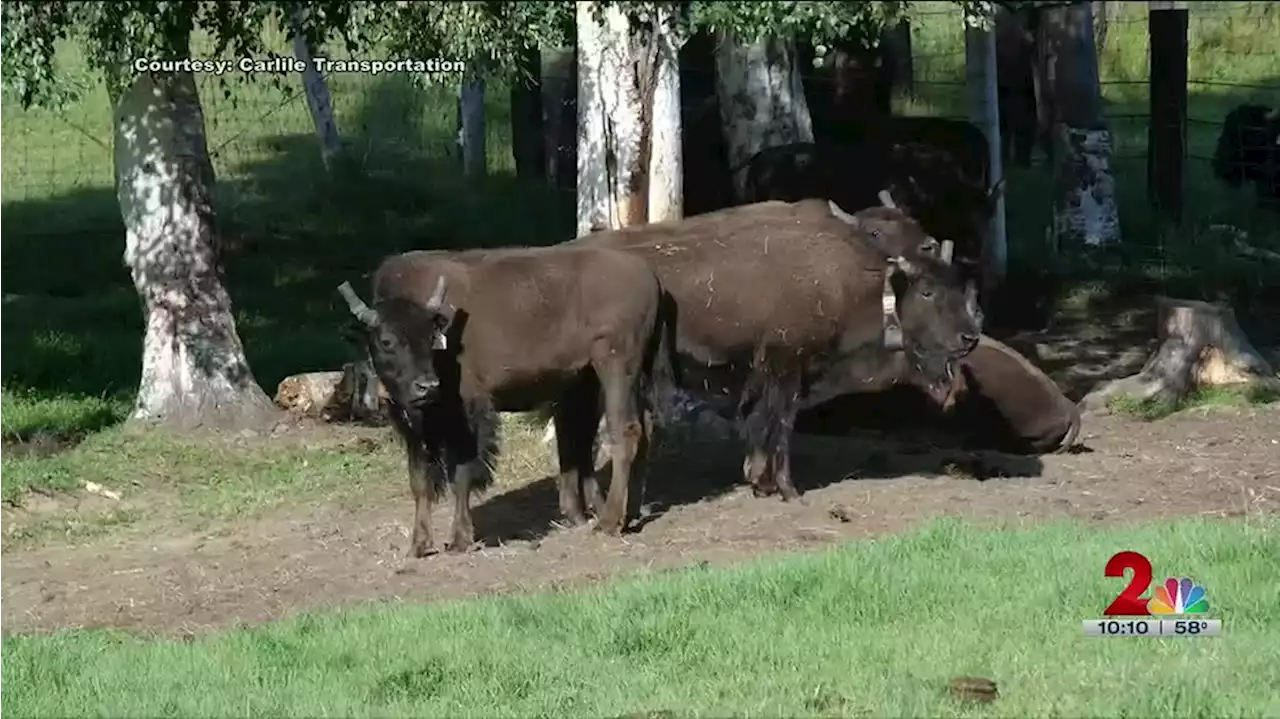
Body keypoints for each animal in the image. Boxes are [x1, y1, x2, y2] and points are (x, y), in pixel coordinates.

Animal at [340, 244, 680, 555]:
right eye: (387, 341)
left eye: (430, 339)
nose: (427, 385)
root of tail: (650, 277)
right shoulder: (414, 429)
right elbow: (419, 482)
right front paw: (418, 546)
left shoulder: (467, 415)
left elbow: (461, 474)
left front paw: (460, 540)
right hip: (613, 376)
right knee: (637, 433)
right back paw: (628, 514)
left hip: (614, 367)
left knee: (625, 432)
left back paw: (608, 523)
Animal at [570, 195, 977, 498]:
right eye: (927, 291)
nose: (969, 338)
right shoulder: (786, 367)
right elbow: (780, 423)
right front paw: (785, 488)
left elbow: (761, 422)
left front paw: (759, 480)